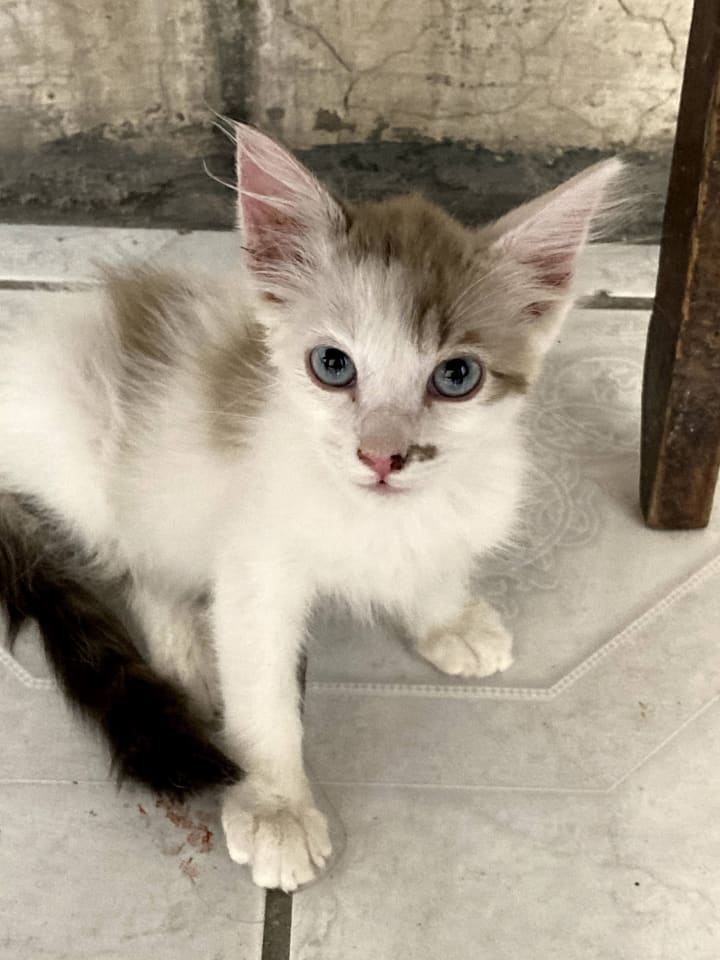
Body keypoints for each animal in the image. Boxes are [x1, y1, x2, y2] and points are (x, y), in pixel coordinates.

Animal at [0, 122, 623, 891]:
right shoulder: (254, 565)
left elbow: (435, 559)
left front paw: (447, 618)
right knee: (135, 558)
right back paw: (184, 645)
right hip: (92, 457)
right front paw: (276, 809)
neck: (376, 518)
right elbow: (262, 691)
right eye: (333, 366)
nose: (383, 456)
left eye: (457, 376)